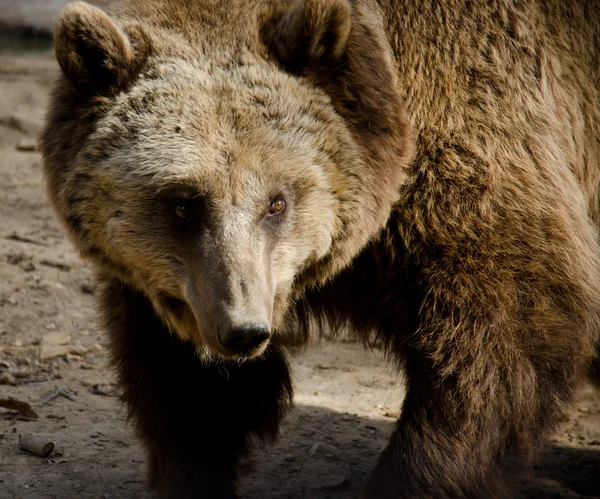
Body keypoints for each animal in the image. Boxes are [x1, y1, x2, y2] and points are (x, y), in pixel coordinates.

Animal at [39, 0, 600, 499]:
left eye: (277, 201)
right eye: (184, 203)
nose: (243, 330)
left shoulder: (476, 146)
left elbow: (504, 330)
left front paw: (417, 477)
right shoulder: (176, 288)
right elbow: (182, 386)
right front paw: (196, 472)